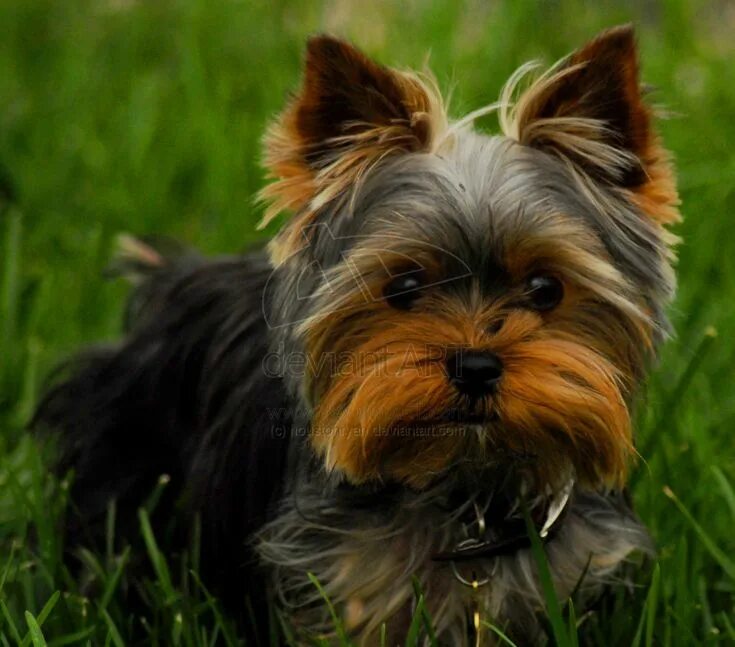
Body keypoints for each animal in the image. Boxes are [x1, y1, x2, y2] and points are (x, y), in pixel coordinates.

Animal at [34, 22, 680, 644]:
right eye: (404, 286)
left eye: (546, 288)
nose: (475, 367)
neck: (467, 493)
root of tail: (169, 277)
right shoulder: (343, 584)